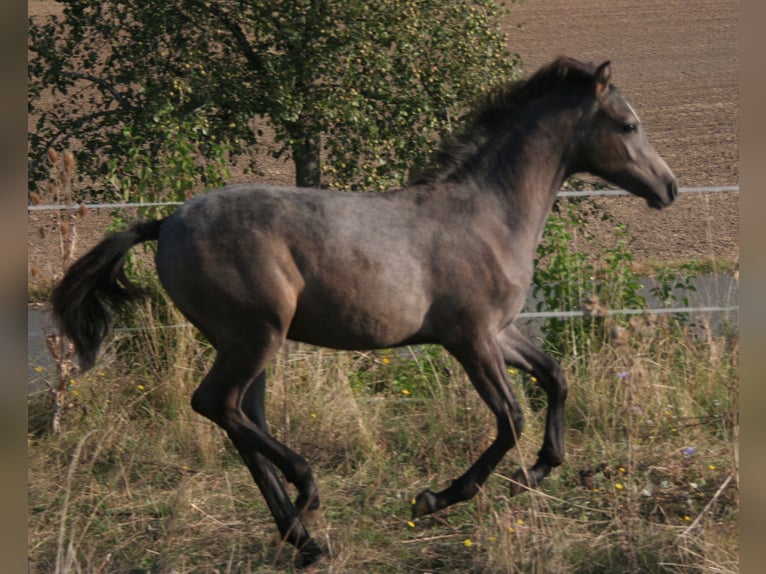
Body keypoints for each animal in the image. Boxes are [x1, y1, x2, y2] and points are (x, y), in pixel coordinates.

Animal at [52, 57, 680, 568]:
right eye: (628, 125)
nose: (669, 188)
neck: (488, 215)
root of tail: (165, 223)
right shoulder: (471, 338)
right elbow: (510, 418)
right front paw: (435, 498)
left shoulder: (497, 332)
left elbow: (555, 377)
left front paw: (535, 473)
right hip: (254, 335)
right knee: (217, 404)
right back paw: (307, 491)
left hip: (248, 344)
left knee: (244, 420)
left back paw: (305, 541)